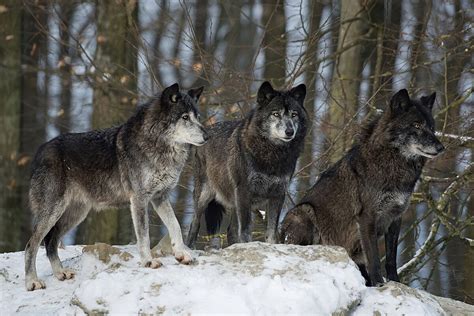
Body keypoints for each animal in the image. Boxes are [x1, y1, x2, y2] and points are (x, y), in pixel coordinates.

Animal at [23, 82, 206, 290]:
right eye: (185, 117)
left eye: (198, 117)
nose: (207, 135)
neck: (158, 144)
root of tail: (39, 152)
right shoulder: (139, 199)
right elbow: (144, 234)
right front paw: (148, 261)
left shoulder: (160, 198)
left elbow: (174, 225)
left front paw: (182, 254)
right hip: (53, 212)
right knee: (32, 244)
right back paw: (32, 281)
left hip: (75, 214)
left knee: (51, 242)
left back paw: (60, 273)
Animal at [185, 81, 308, 247]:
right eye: (276, 114)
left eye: (294, 114)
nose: (290, 131)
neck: (272, 155)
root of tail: (206, 131)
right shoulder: (244, 192)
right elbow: (245, 231)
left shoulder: (278, 194)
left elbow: (271, 233)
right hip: (204, 197)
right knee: (194, 225)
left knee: (230, 231)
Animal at [280, 88, 442, 286]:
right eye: (417, 125)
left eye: (432, 127)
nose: (440, 147)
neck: (393, 165)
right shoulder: (367, 218)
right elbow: (374, 258)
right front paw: (378, 283)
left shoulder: (395, 218)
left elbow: (391, 259)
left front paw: (395, 282)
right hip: (304, 211)